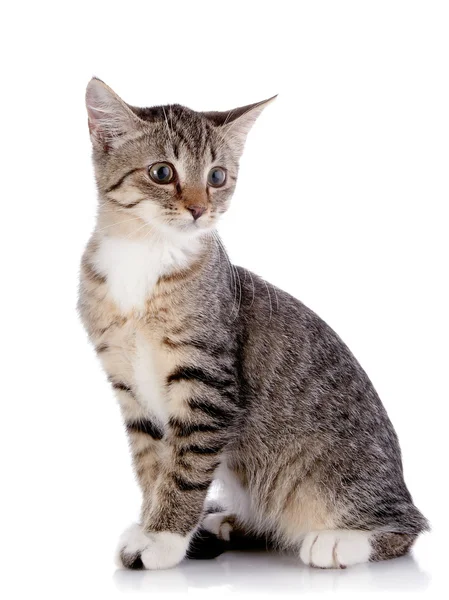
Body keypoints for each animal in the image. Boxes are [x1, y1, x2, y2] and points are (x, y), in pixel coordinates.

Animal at [79, 77, 426, 568]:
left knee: (407, 526)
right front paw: (151, 526)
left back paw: (343, 540)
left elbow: (185, 468)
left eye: (217, 177)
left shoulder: (209, 384)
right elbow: (153, 466)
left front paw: (164, 538)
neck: (144, 255)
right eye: (162, 173)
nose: (198, 210)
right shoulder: (130, 389)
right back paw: (227, 521)